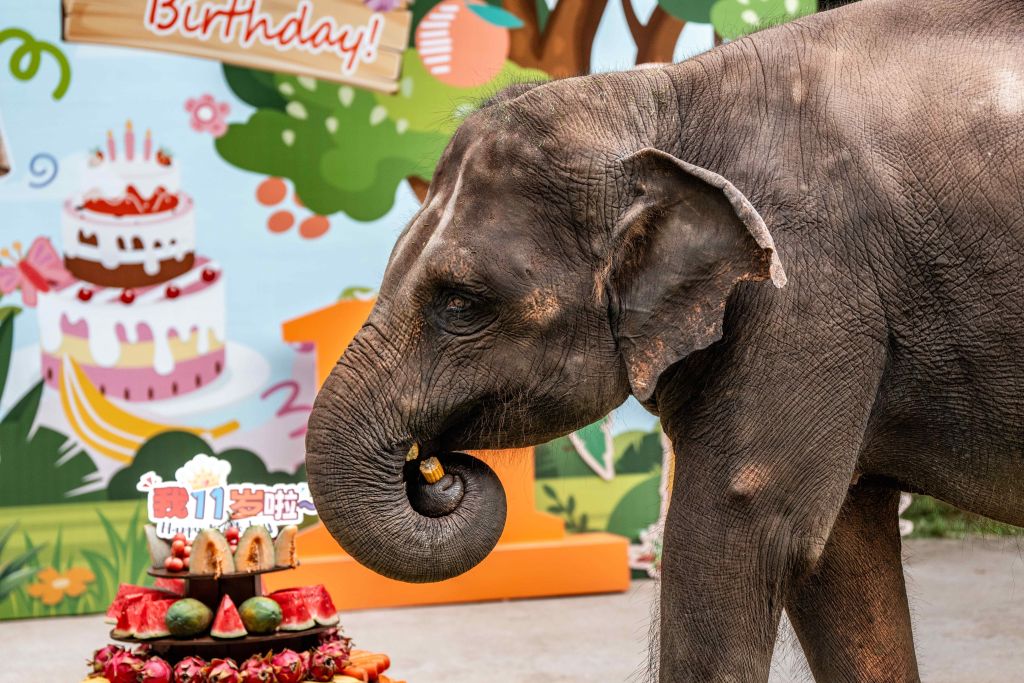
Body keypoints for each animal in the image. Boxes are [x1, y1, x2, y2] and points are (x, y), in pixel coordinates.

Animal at [305, 0, 1024, 680]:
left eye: (458, 302)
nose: (436, 471)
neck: (664, 100)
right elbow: (840, 550)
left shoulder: (806, 289)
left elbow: (745, 527)